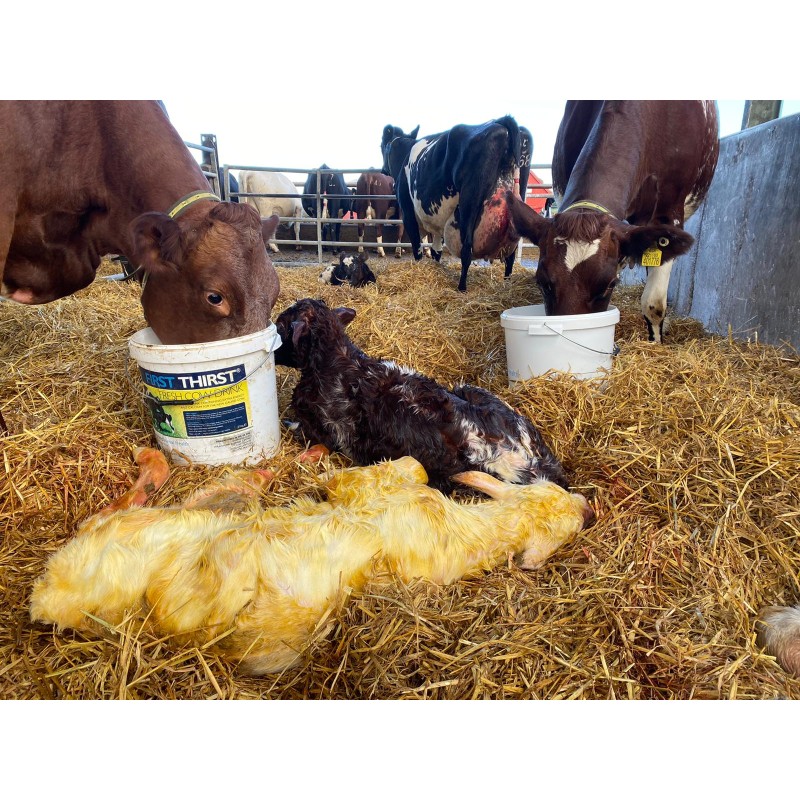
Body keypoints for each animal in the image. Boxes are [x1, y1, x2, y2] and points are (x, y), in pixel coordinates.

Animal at [380, 116, 527, 292]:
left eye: (381, 145)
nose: (383, 170)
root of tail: (501, 121)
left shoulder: (408, 212)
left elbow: (417, 249)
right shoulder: (437, 223)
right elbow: (436, 251)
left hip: (469, 204)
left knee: (467, 251)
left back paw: (461, 288)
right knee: (510, 257)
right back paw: (507, 284)